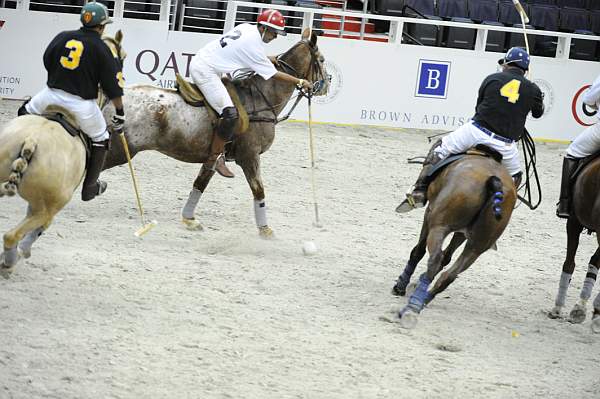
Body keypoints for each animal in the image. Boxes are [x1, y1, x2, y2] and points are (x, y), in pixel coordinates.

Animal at [0, 32, 126, 272]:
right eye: (121, 57)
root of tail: (31, 141)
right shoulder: (49, 208)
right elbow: (39, 230)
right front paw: (23, 251)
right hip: (49, 205)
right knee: (12, 235)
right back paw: (10, 260)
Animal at [101, 29, 330, 239]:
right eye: (321, 60)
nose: (326, 85)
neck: (261, 99)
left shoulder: (214, 156)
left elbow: (200, 183)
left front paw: (189, 219)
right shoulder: (249, 155)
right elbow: (258, 190)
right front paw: (265, 229)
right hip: (122, 149)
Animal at [392, 152, 516, 330]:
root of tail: (494, 180)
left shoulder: (429, 215)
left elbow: (418, 251)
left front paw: (401, 285)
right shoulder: (462, 233)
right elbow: (447, 256)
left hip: (439, 226)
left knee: (435, 259)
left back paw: (412, 306)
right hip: (477, 246)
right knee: (449, 275)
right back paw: (422, 300)